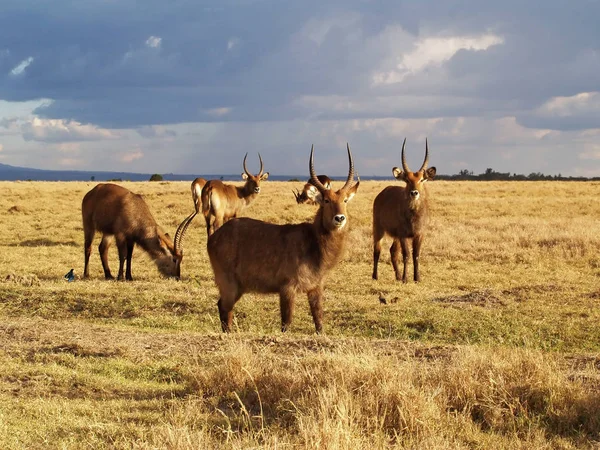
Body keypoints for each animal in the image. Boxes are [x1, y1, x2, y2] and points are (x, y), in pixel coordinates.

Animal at [206, 144, 358, 334]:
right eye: (326, 200)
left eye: (345, 200)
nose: (339, 218)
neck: (313, 242)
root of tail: (214, 237)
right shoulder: (287, 288)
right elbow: (286, 322)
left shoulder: (316, 288)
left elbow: (319, 319)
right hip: (229, 284)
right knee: (224, 307)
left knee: (223, 307)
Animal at [370, 139, 436, 284]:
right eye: (407, 180)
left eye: (421, 179)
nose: (414, 192)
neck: (413, 216)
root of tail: (383, 192)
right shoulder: (403, 235)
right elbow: (406, 255)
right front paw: (406, 279)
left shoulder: (419, 234)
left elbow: (416, 255)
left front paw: (417, 278)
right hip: (378, 228)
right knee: (377, 250)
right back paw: (375, 276)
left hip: (394, 236)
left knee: (393, 251)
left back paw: (398, 276)